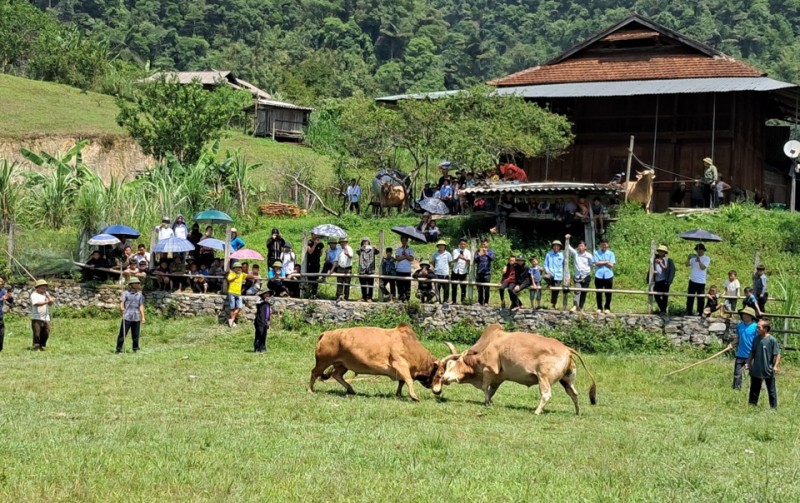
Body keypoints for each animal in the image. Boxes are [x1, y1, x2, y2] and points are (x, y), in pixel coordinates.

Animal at [310, 324, 444, 404]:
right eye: (440, 374)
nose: (439, 391)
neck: (410, 345)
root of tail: (326, 333)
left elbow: (401, 382)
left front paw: (399, 394)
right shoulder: (400, 363)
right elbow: (408, 380)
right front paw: (414, 396)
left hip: (342, 364)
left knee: (336, 375)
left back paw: (351, 389)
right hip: (324, 361)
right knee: (314, 372)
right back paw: (310, 390)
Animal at [440, 324, 596, 416]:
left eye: (451, 365)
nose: (443, 378)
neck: (488, 345)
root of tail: (567, 349)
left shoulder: (489, 370)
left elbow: (485, 388)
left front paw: (487, 403)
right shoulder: (498, 378)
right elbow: (491, 391)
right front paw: (490, 402)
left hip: (543, 378)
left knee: (546, 395)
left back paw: (536, 412)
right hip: (566, 380)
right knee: (574, 394)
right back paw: (577, 412)